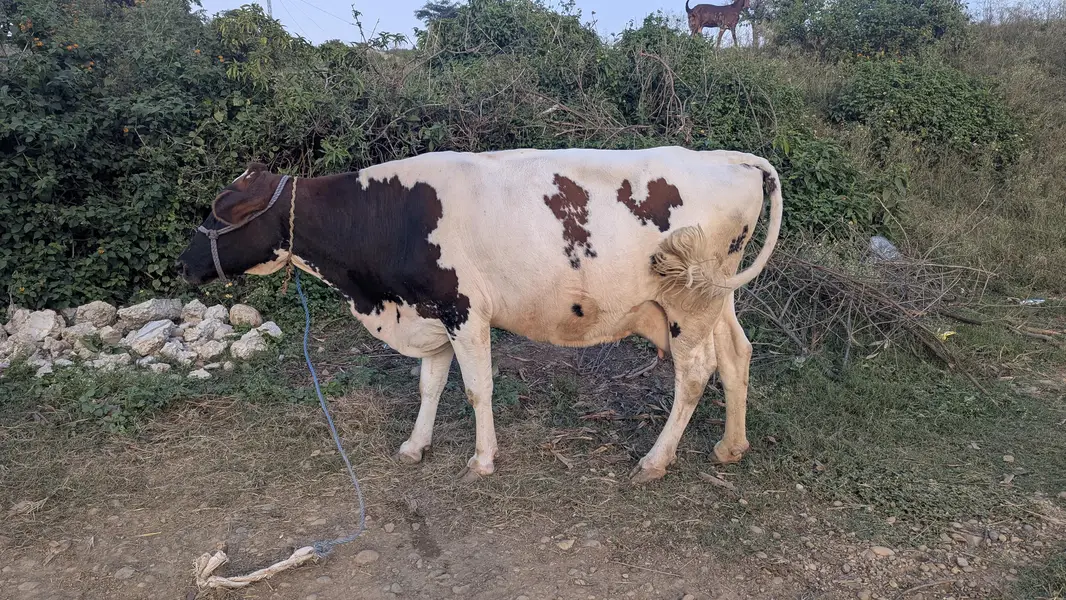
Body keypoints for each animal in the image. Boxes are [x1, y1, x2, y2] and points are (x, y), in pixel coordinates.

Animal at [176, 146, 783, 484]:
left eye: (220, 210)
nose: (183, 263)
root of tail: (723, 157)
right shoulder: (428, 312)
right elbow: (429, 384)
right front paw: (415, 447)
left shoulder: (464, 309)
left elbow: (476, 388)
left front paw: (482, 460)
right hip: (714, 298)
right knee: (736, 354)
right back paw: (731, 447)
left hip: (686, 304)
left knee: (695, 373)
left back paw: (656, 461)